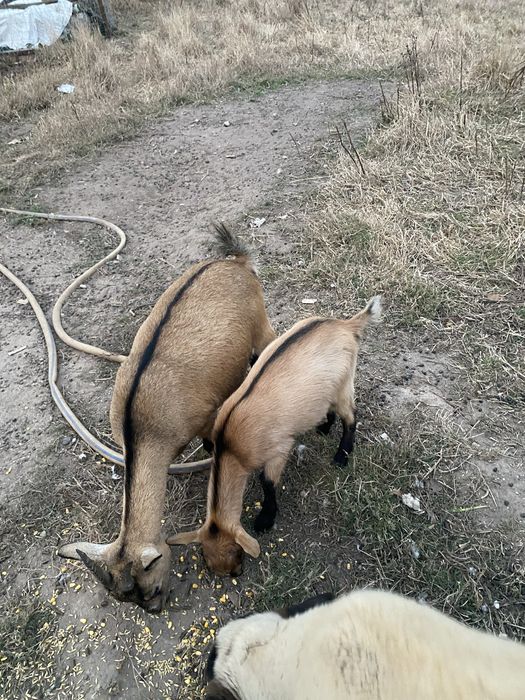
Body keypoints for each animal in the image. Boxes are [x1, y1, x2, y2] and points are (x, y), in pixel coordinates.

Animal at [58, 224, 275, 612]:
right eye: (128, 598)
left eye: (151, 589)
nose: (156, 610)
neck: (142, 428)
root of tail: (234, 262)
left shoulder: (206, 416)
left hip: (261, 322)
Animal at [169, 297, 381, 575]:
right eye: (208, 559)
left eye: (236, 557)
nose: (235, 573)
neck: (231, 447)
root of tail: (345, 325)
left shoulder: (279, 448)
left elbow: (267, 482)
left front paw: (265, 519)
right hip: (328, 390)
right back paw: (324, 428)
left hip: (344, 385)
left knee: (351, 417)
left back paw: (341, 456)